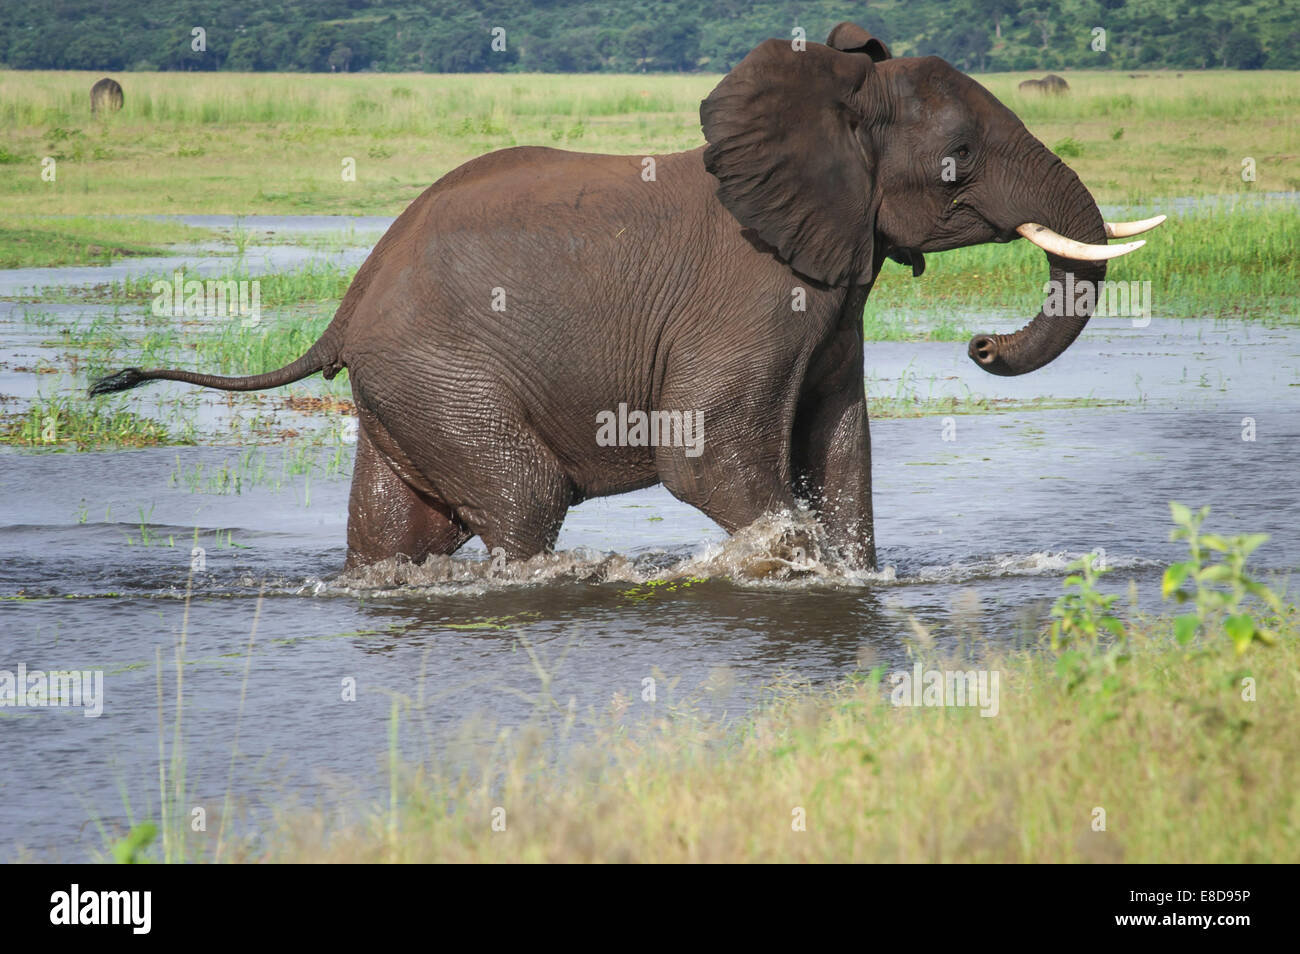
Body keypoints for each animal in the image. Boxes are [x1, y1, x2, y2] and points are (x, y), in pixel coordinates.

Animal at [94, 24, 1170, 574]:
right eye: (958, 160)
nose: (982, 346)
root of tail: (347, 306)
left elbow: (840, 448)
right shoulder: (754, 291)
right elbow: (709, 455)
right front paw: (790, 571)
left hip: (404, 390)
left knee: (399, 530)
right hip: (442, 374)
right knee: (523, 502)